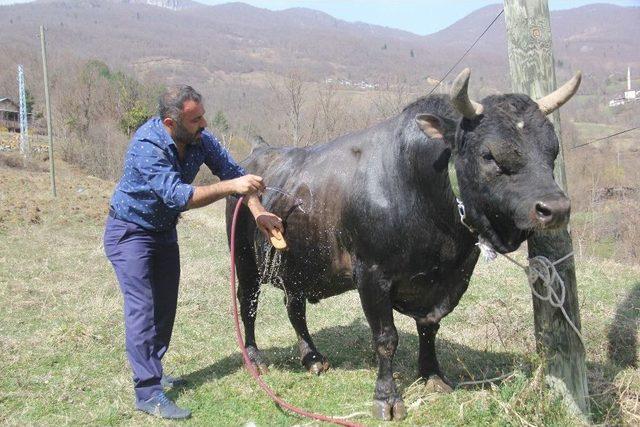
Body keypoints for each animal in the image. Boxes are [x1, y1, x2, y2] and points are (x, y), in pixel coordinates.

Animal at [226, 70, 580, 422]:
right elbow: (386, 337)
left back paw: (312, 357)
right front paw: (387, 397)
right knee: (248, 305)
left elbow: (429, 327)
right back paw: (255, 358)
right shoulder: (371, 274)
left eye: (552, 150)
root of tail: (257, 155)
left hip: (298, 266)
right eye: (488, 154)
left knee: (295, 308)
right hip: (244, 259)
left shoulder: (450, 279)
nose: (555, 208)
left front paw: (432, 374)